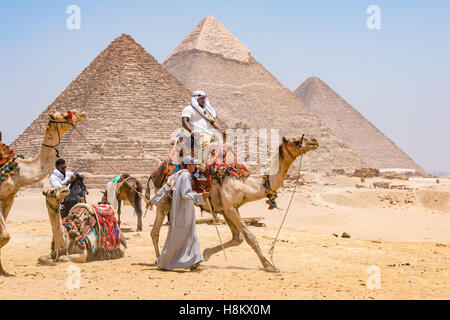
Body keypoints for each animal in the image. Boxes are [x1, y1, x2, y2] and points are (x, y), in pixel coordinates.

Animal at [0, 110, 86, 276]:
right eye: (65, 115)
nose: (81, 113)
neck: (20, 171)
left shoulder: (9, 197)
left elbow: (4, 235)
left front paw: (2, 271)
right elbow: (5, 235)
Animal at [146, 135, 318, 272]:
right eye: (296, 140)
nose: (314, 141)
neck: (246, 184)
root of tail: (156, 171)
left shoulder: (227, 209)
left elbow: (238, 238)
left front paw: (205, 255)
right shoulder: (230, 209)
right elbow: (249, 237)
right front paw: (269, 266)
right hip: (164, 199)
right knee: (155, 231)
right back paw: (159, 260)